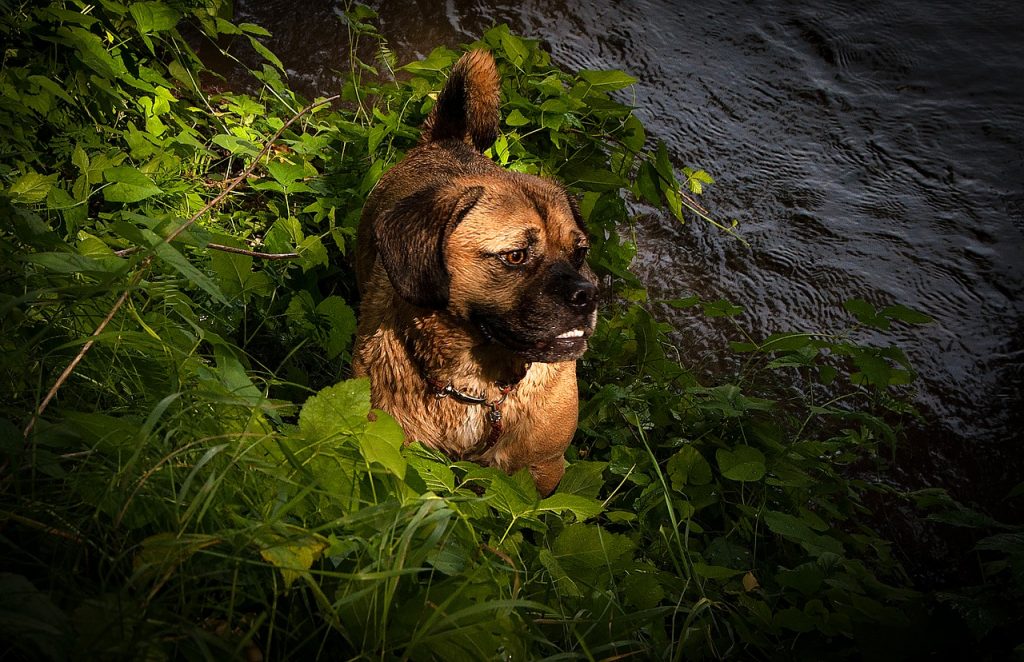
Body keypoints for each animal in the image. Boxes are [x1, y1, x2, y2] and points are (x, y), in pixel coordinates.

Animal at [352, 49, 598, 495]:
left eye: (580, 252)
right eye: (515, 256)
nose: (588, 295)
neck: (478, 389)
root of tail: (446, 140)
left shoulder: (544, 468)